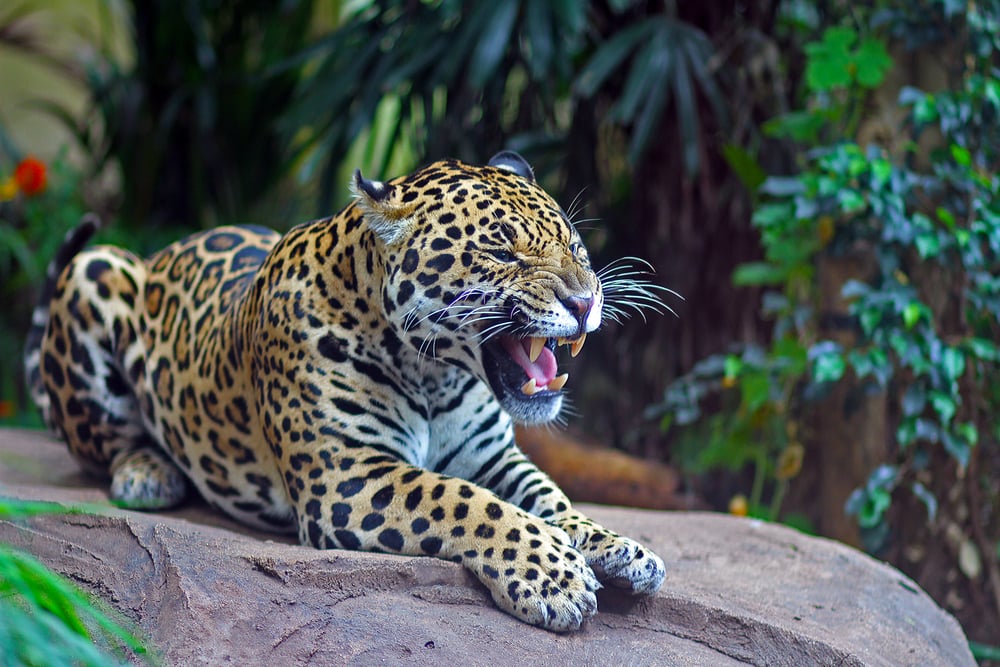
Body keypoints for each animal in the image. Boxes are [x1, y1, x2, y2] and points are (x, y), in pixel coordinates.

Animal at [24, 151, 669, 632]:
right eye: (501, 251)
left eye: (576, 247)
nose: (585, 302)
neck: (435, 377)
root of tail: (160, 254)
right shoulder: (344, 473)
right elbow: (465, 501)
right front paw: (554, 576)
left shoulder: (493, 457)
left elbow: (550, 499)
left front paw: (616, 546)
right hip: (95, 269)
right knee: (103, 442)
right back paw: (146, 472)